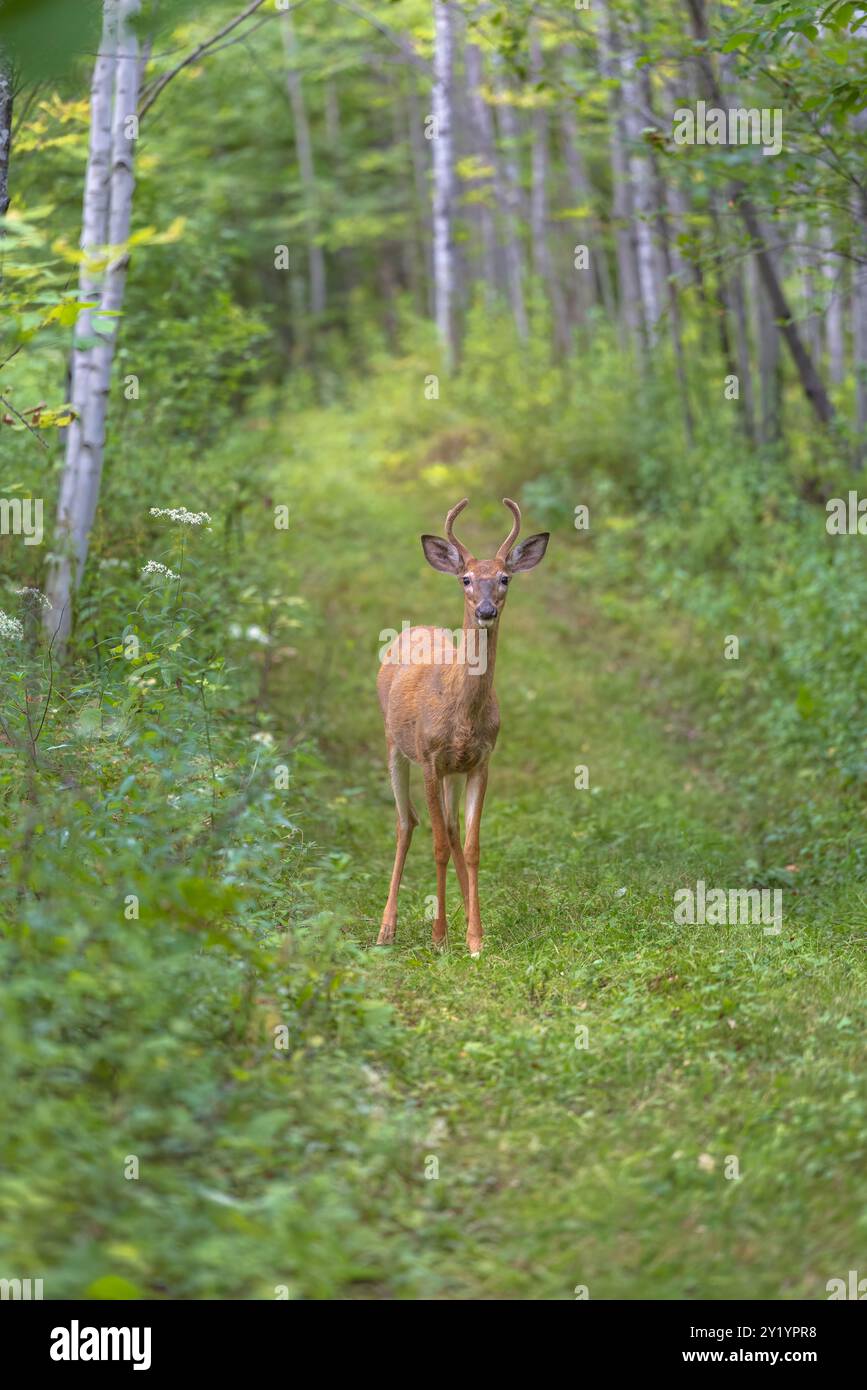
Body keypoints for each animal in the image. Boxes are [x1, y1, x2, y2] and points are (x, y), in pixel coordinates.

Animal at [375, 497, 547, 956]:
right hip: (394, 745)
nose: (486, 610)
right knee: (406, 823)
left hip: (452, 770)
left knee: (451, 829)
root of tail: (415, 627)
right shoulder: (431, 758)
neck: (463, 713)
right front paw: (438, 937)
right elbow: (435, 844)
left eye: (505, 577)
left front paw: (475, 938)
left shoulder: (479, 761)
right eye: (466, 579)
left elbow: (470, 846)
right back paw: (386, 929)